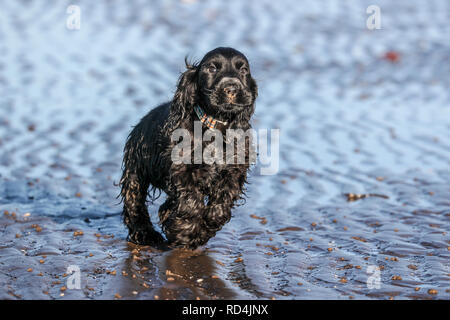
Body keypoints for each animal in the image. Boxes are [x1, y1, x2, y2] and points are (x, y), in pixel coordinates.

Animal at [119, 46, 258, 249]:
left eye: (244, 70)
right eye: (212, 68)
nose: (231, 89)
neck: (215, 127)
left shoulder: (233, 172)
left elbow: (222, 203)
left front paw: (202, 231)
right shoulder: (183, 169)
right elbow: (191, 202)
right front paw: (183, 233)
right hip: (136, 170)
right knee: (134, 202)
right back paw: (145, 234)